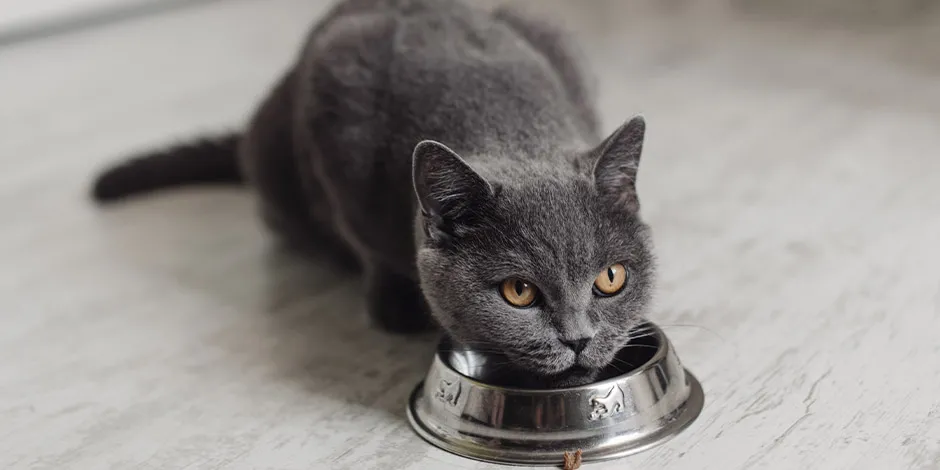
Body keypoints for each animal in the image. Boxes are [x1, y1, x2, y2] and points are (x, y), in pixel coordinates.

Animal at [93, 0, 652, 388]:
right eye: (519, 292)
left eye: (611, 278)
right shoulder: (336, 112)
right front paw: (394, 305)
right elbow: (367, 245)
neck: (504, 120)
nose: (579, 339)